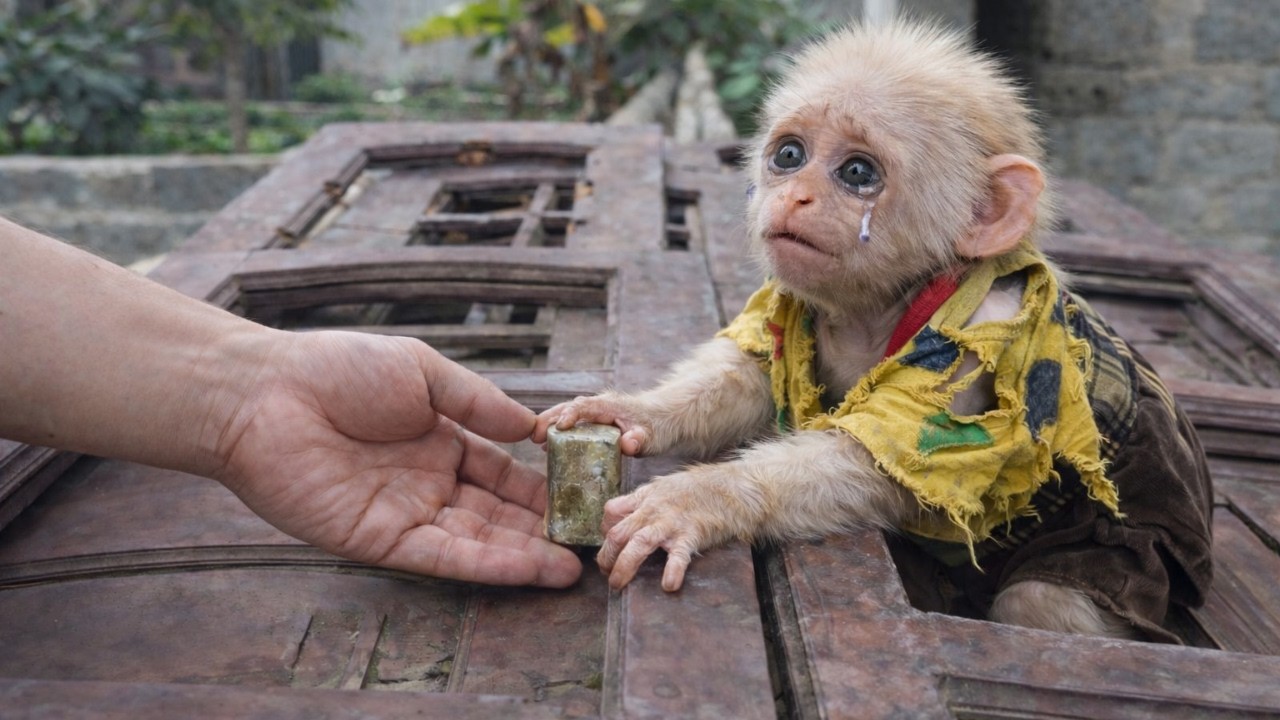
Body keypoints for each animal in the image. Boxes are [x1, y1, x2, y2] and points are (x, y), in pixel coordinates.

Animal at [532, 20, 1213, 642]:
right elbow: (752, 378)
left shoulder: (987, 333)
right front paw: (630, 411)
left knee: (1046, 602)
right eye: (790, 156)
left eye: (858, 172)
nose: (796, 197)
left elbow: (888, 460)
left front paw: (699, 501)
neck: (879, 304)